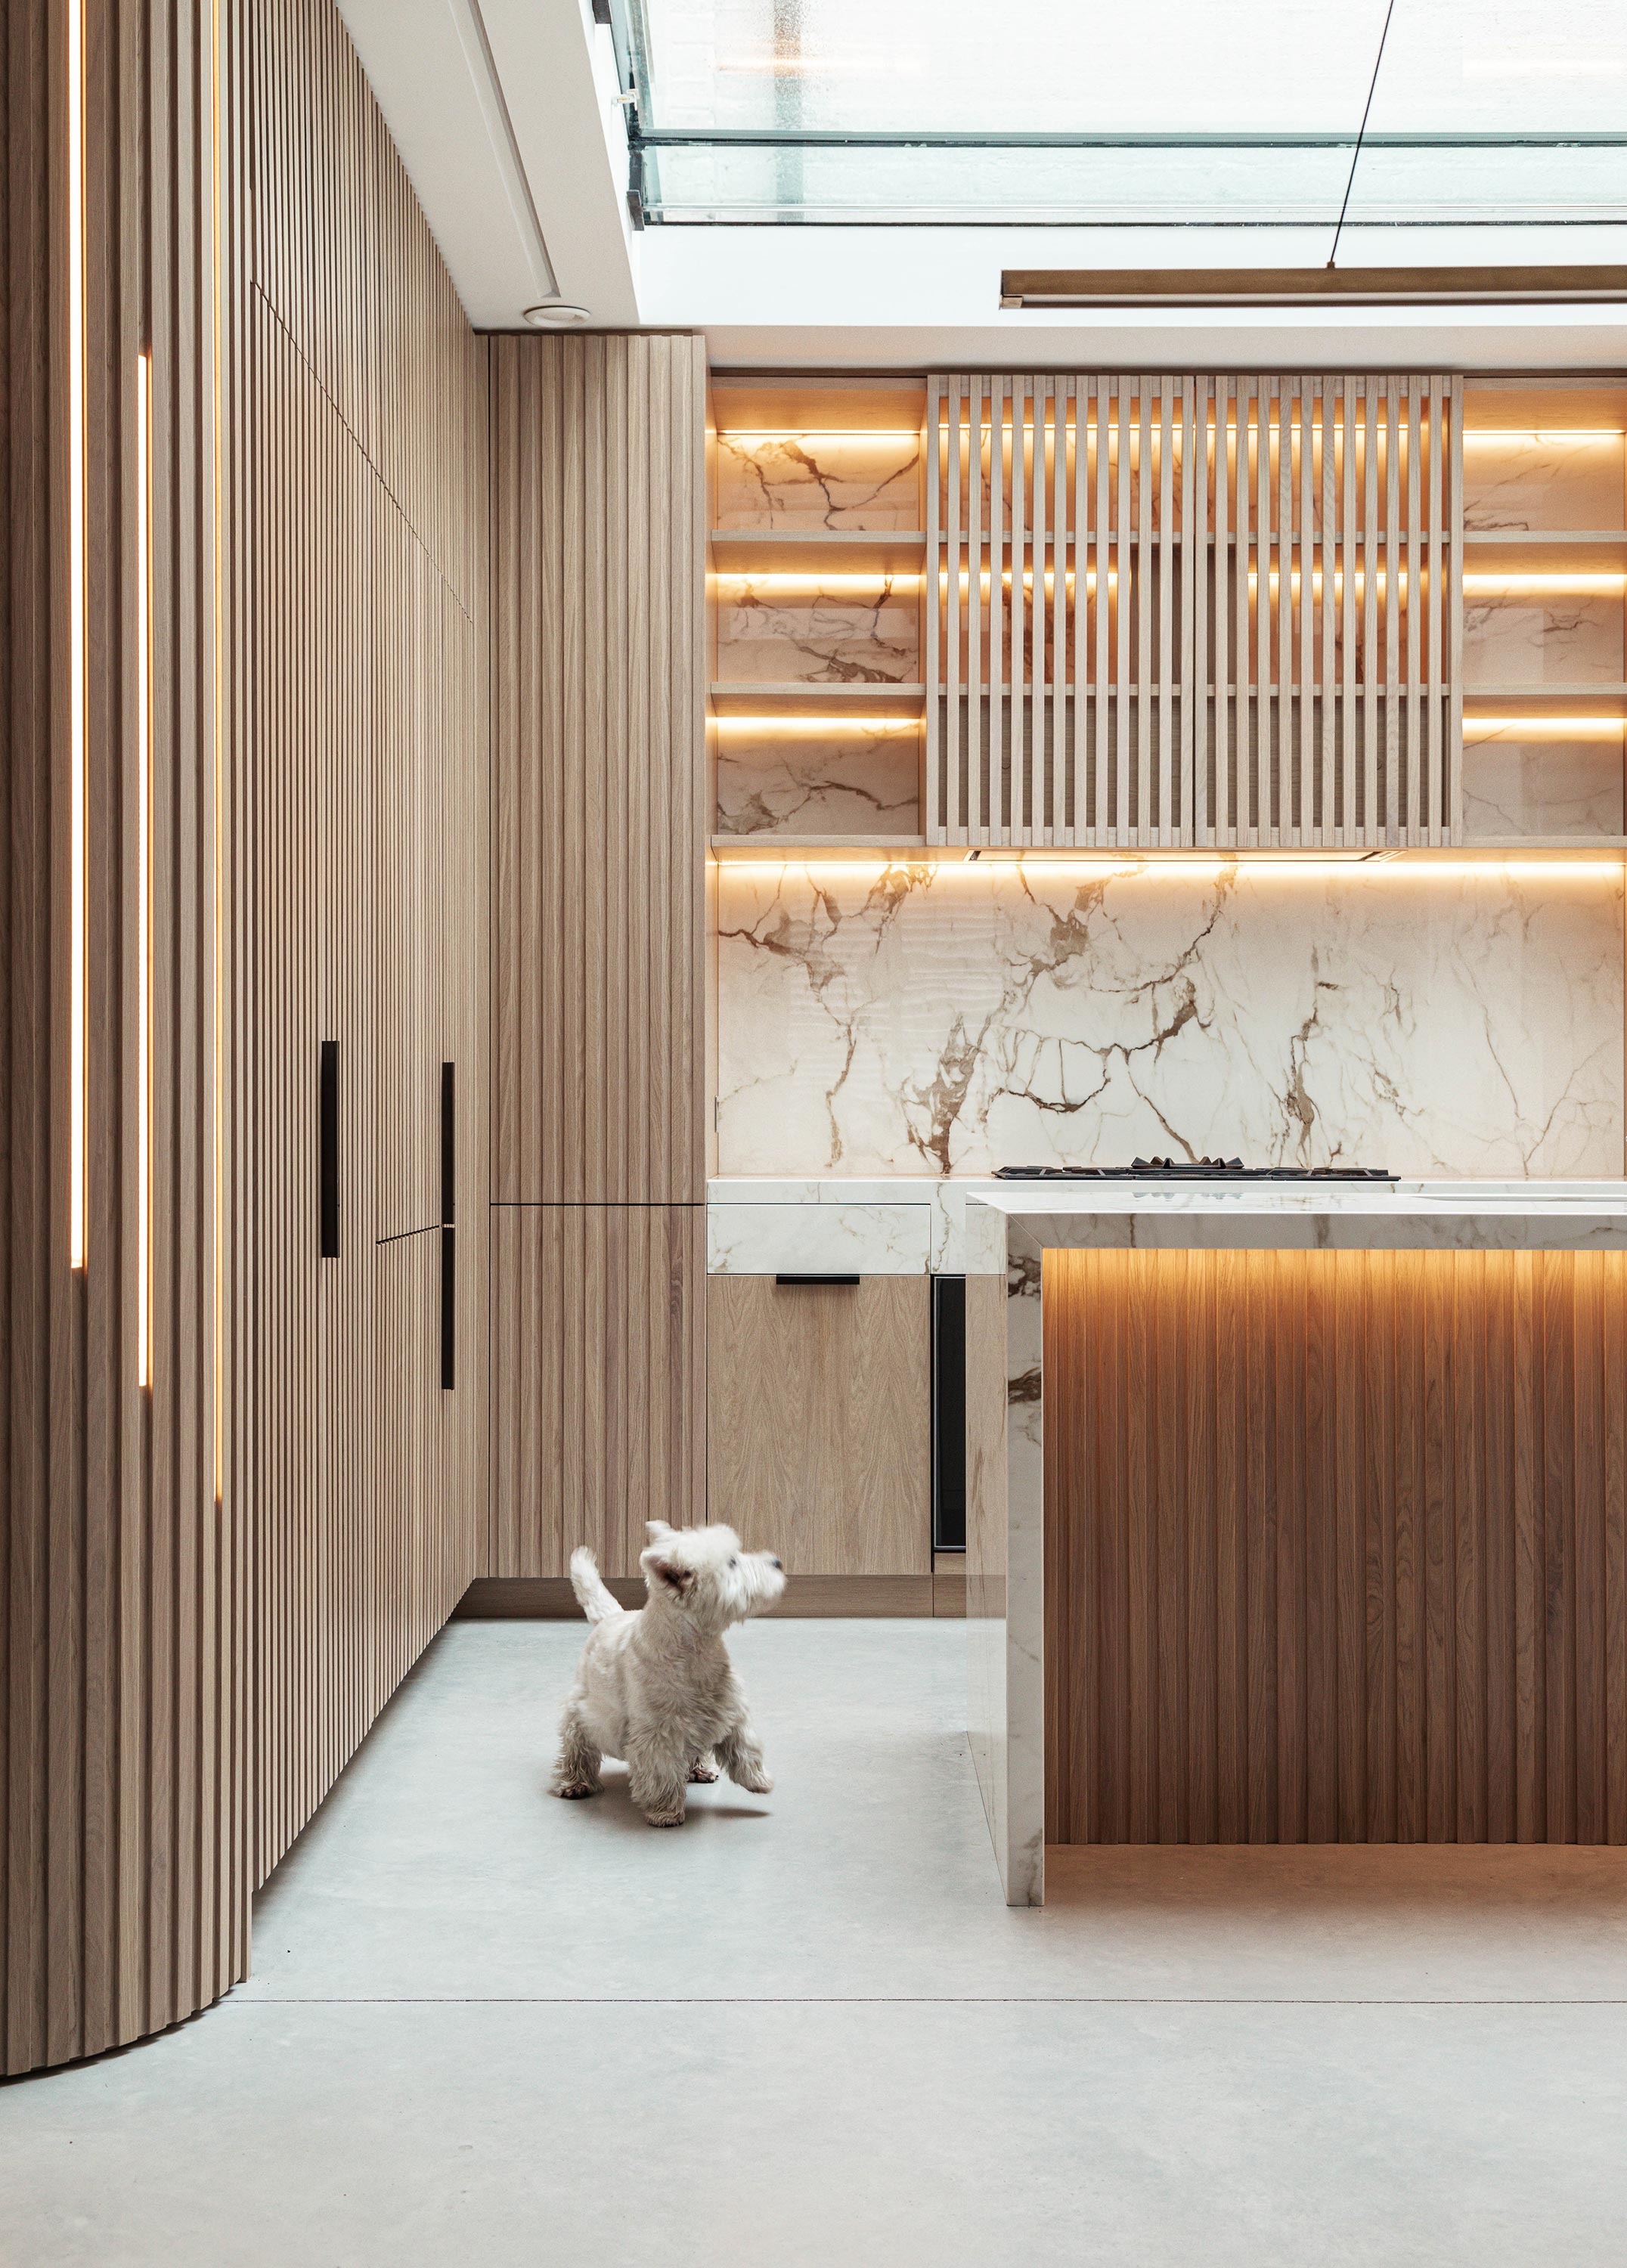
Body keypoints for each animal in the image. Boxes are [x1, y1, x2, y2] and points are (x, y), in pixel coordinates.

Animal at [551, 1524, 785, 1823]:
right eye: (732, 1562)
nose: (777, 1562)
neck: (695, 1648)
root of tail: (609, 1617)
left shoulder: (730, 1709)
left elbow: (746, 1746)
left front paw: (759, 1780)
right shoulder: (657, 1730)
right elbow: (661, 1771)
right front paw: (665, 1812)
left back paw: (701, 1768)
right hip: (584, 1711)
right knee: (576, 1744)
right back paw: (575, 1783)